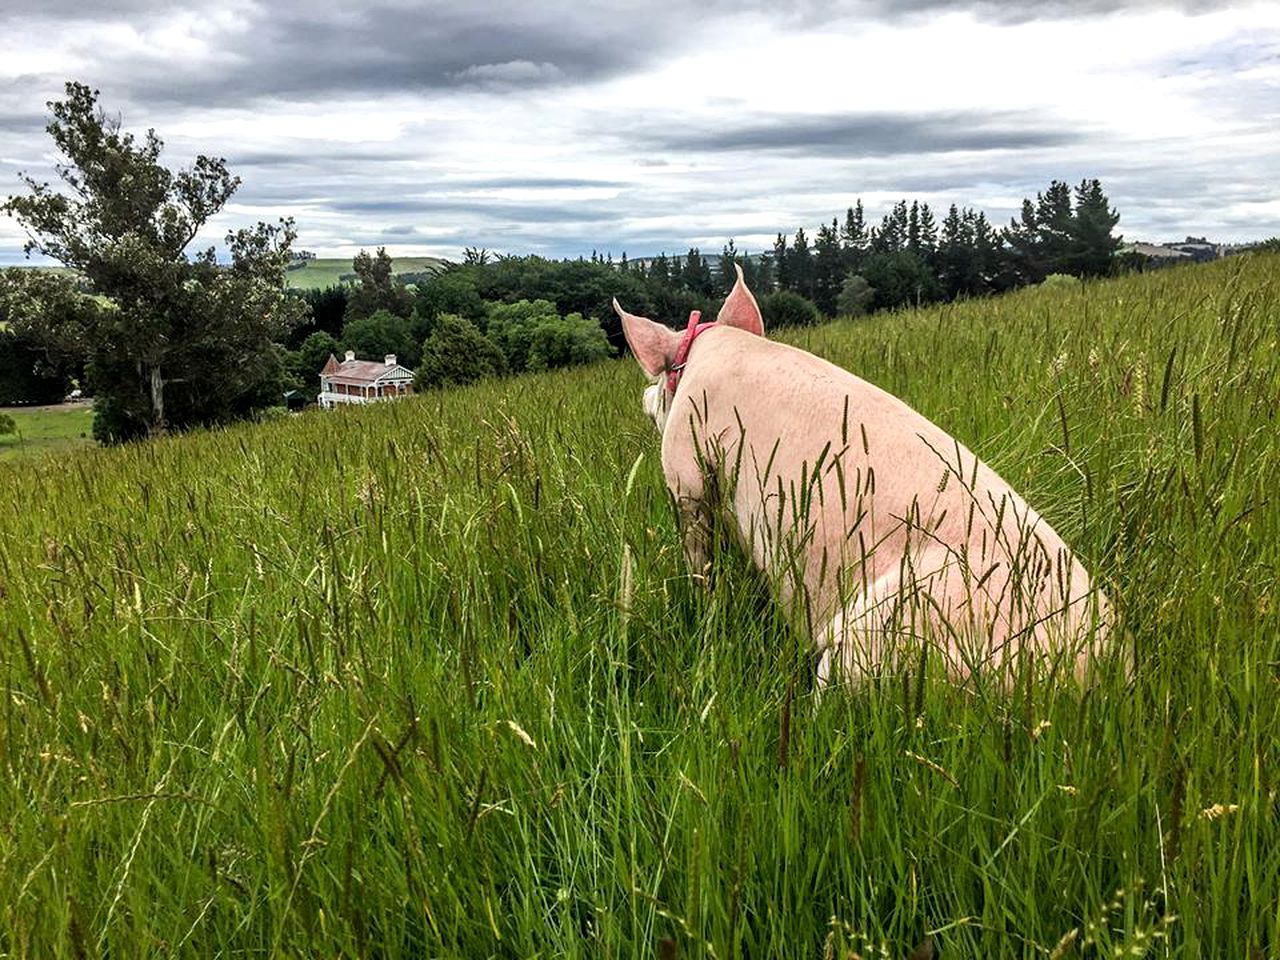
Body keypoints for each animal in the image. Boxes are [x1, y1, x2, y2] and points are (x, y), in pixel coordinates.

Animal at [611, 267, 1111, 686]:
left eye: (659, 381)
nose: (642, 396)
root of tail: (1089, 676)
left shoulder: (688, 475)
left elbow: (699, 555)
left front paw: (703, 603)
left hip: (877, 636)